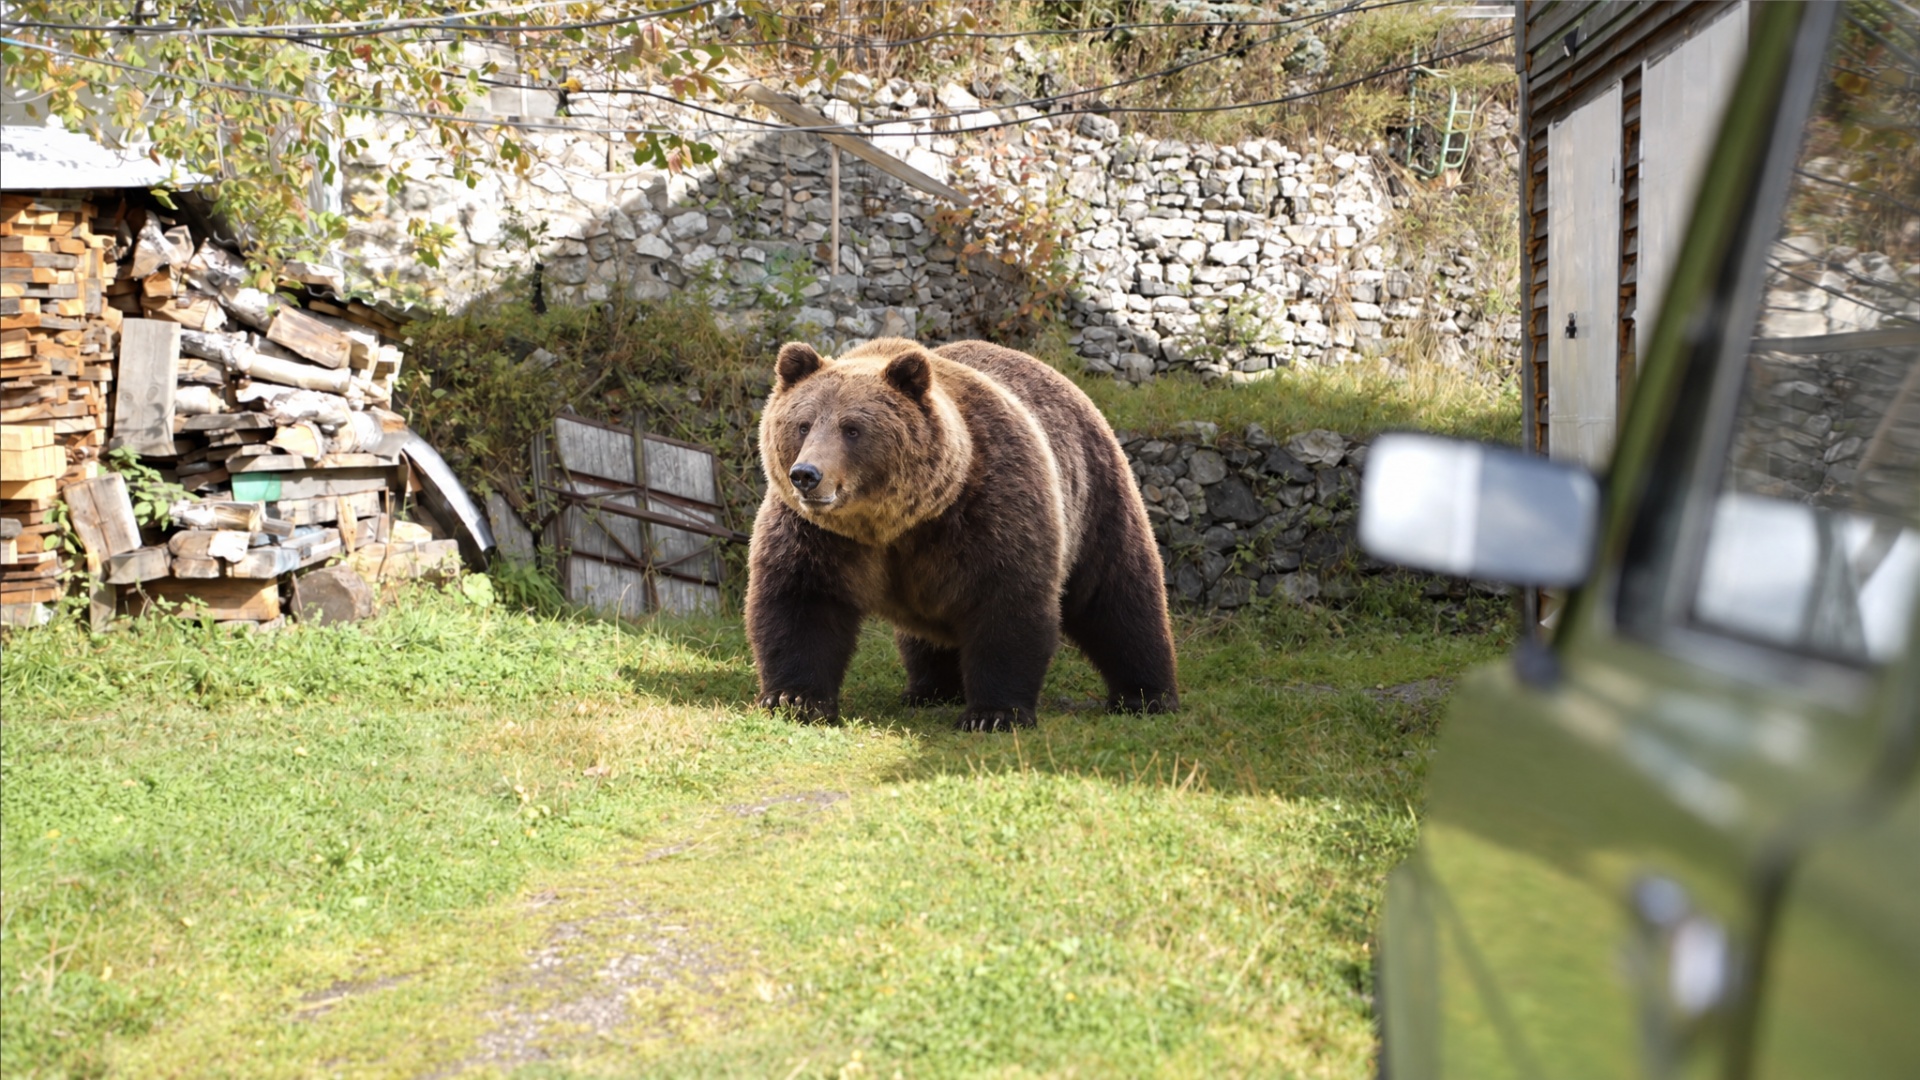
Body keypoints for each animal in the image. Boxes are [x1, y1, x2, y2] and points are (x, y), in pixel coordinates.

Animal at [746, 336, 1179, 731]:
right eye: (803, 424)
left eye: (852, 428)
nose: (806, 475)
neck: (896, 523)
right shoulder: (819, 534)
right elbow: (803, 600)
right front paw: (795, 698)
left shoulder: (991, 509)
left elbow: (1007, 601)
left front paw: (994, 714)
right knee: (925, 636)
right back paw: (929, 688)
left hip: (1096, 498)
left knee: (1119, 598)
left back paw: (1147, 696)